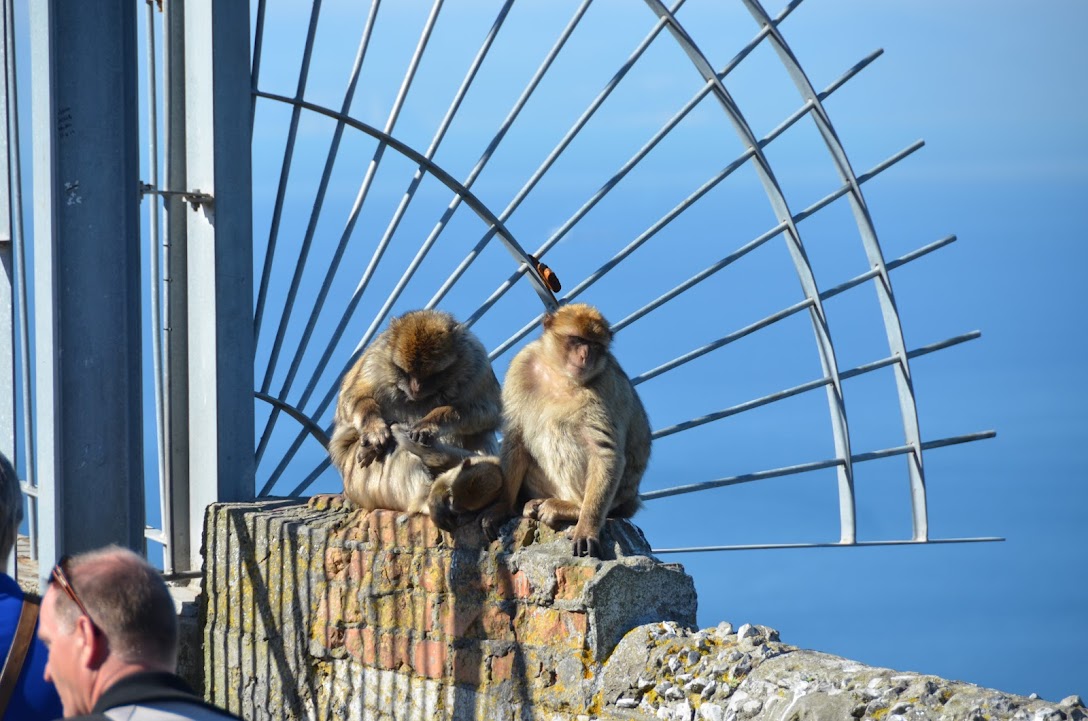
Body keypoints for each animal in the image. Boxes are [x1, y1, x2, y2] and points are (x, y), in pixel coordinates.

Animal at [487, 300, 648, 556]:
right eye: (577, 340)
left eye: (594, 345)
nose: (585, 355)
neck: (560, 374)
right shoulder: (522, 363)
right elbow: (515, 436)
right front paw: (503, 505)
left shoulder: (605, 384)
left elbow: (604, 451)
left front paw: (587, 527)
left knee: (559, 429)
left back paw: (571, 507)